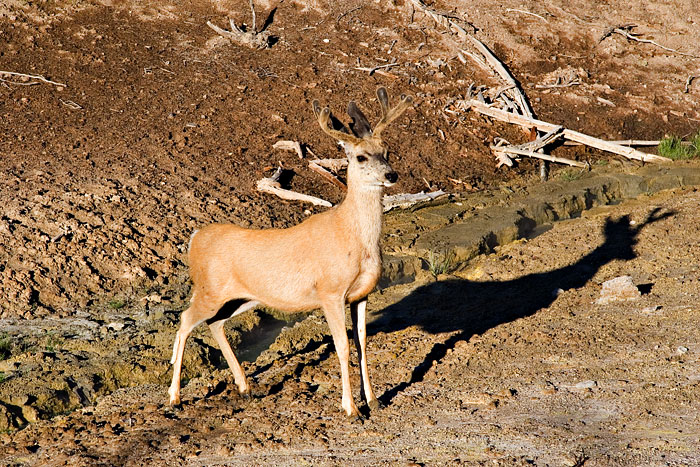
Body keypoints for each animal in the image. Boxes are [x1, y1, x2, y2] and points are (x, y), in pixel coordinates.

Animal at [167, 88, 412, 420]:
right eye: (361, 157)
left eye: (386, 150)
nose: (391, 175)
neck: (354, 238)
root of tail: (195, 238)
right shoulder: (329, 291)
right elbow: (343, 346)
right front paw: (351, 409)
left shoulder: (361, 293)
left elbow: (362, 343)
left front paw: (373, 401)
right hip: (209, 289)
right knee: (185, 320)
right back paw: (174, 397)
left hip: (242, 297)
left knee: (214, 324)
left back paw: (245, 388)